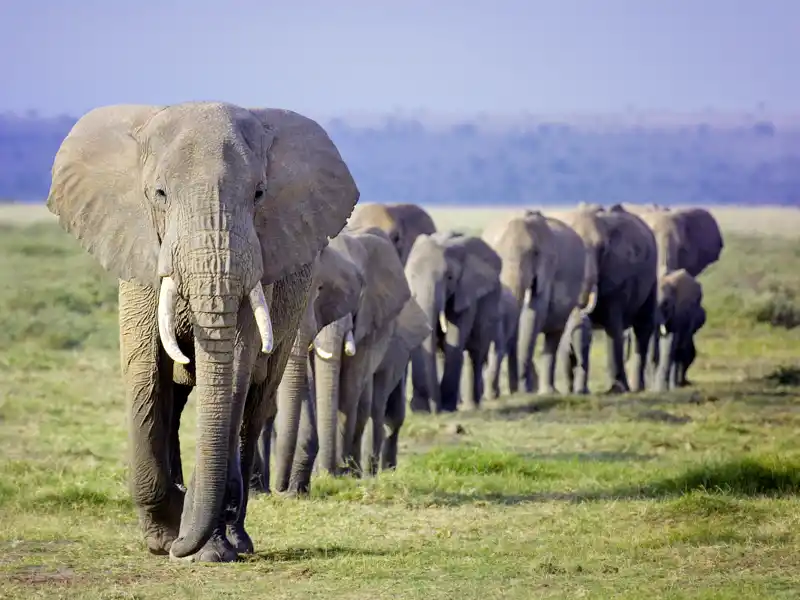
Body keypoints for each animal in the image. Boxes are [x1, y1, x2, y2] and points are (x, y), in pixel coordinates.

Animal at [43, 103, 356, 564]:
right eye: (159, 194)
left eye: (259, 194)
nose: (178, 544)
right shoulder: (139, 253)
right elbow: (144, 371)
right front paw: (163, 537)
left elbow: (235, 370)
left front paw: (202, 546)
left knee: (254, 406)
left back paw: (235, 539)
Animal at [304, 227, 410, 476]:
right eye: (316, 291)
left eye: (360, 292)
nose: (331, 470)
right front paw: (324, 473)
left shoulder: (369, 322)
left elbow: (349, 389)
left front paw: (341, 471)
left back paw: (358, 469)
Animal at [406, 230, 500, 412]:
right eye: (411, 276)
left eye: (449, 277)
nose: (434, 410)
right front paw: (420, 409)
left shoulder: (465, 292)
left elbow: (455, 339)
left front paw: (447, 408)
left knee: (476, 352)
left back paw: (472, 405)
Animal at [482, 209, 588, 396]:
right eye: (497, 255)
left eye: (535, 253)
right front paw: (517, 391)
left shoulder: (548, 267)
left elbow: (534, 311)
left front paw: (524, 390)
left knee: (553, 336)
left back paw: (548, 391)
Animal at [552, 204, 660, 396]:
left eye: (602, 250)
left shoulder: (619, 271)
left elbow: (613, 325)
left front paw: (617, 390)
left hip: (651, 278)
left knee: (643, 327)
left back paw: (637, 388)